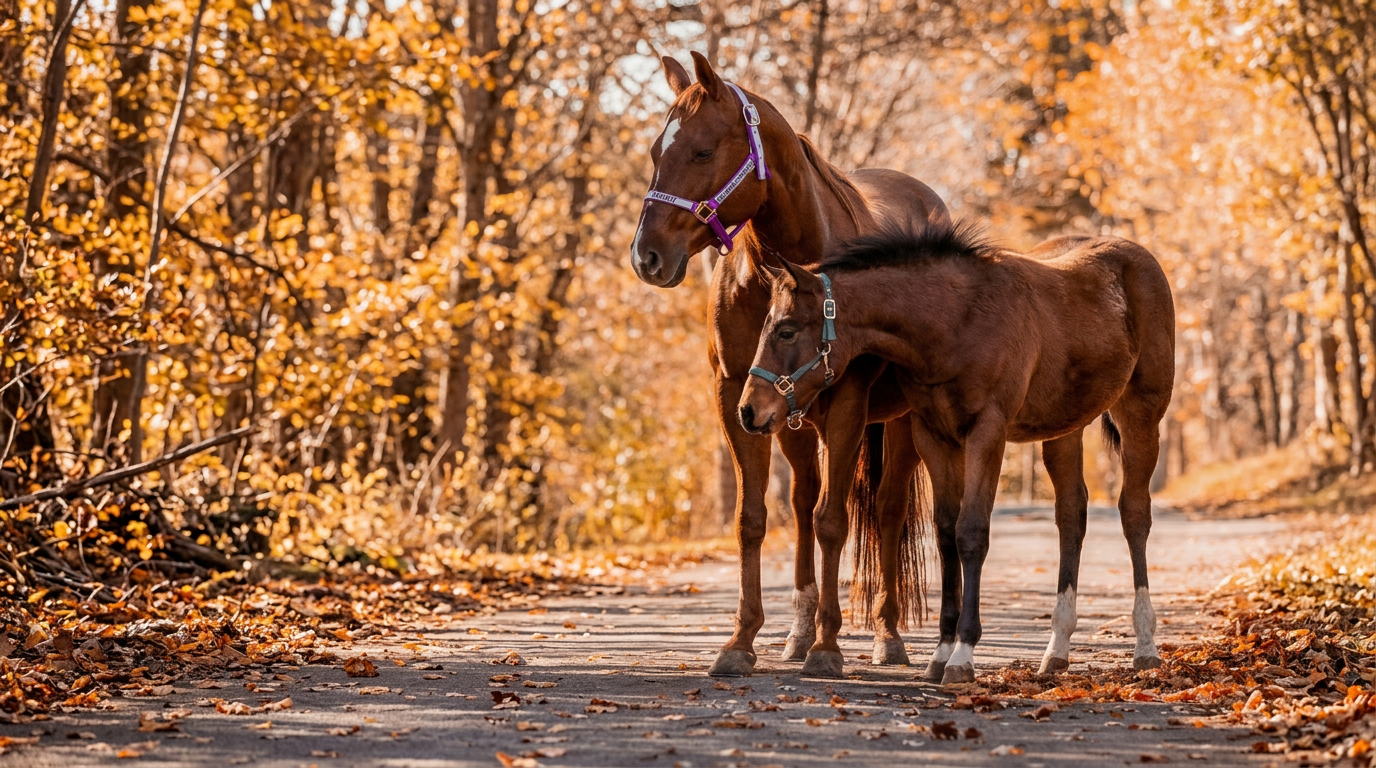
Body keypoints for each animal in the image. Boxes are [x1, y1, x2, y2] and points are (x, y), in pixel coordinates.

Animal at [629, 52, 950, 678]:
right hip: (792, 420)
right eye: (657, 152)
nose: (646, 256)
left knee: (886, 509)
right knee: (803, 500)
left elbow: (834, 520)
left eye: (701, 151)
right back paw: (799, 633)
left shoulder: (847, 400)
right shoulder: (739, 396)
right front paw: (742, 641)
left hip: (897, 424)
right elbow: (754, 517)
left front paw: (829, 649)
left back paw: (886, 634)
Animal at [740, 222, 1175, 683]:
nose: (749, 411)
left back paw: (1145, 646)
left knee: (1134, 514)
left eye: (786, 330)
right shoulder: (934, 436)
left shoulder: (987, 432)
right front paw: (941, 651)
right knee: (1071, 515)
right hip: (1064, 428)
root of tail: (1135, 255)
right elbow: (946, 533)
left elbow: (971, 532)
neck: (956, 323)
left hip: (1140, 413)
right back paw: (1056, 651)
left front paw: (963, 654)